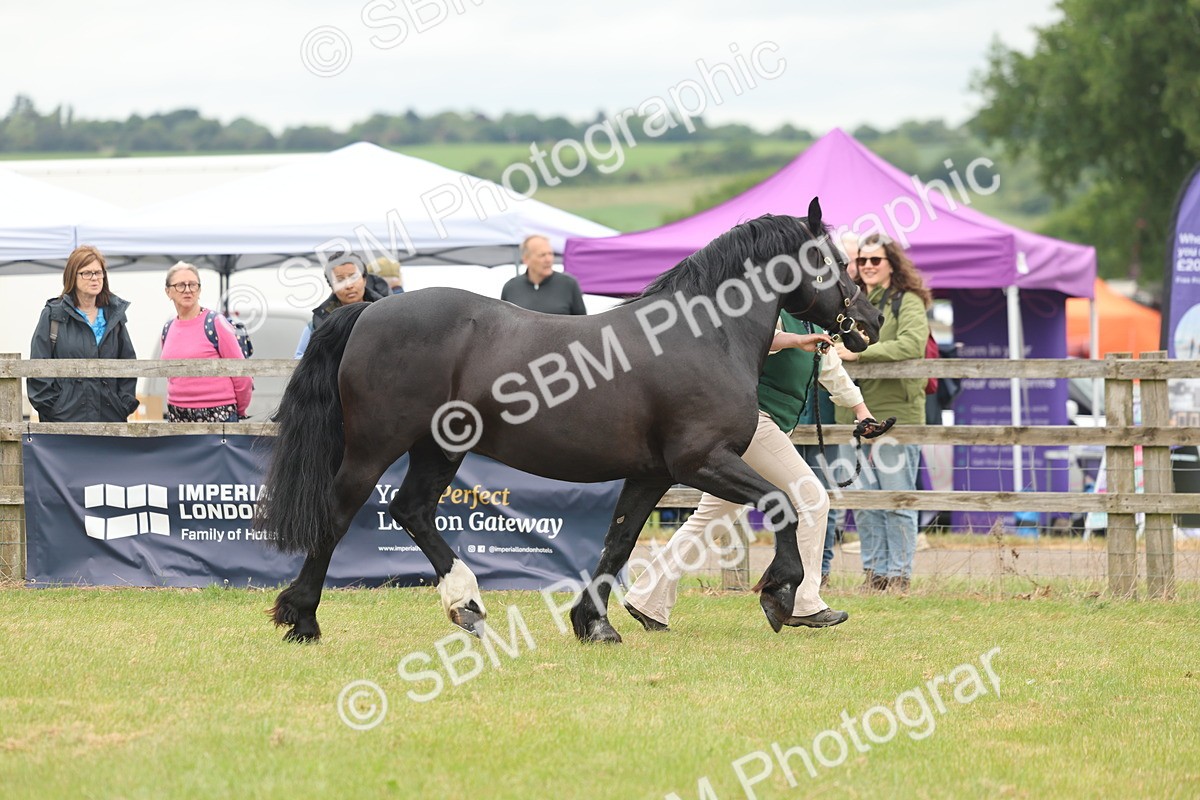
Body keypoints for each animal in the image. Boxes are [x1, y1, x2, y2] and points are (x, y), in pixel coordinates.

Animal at [256, 198, 883, 644]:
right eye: (831, 260)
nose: (870, 320)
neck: (703, 336)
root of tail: (367, 311)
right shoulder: (701, 461)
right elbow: (783, 503)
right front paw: (779, 595)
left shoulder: (653, 473)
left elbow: (619, 541)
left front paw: (595, 623)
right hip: (374, 446)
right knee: (338, 514)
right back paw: (302, 619)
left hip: (440, 448)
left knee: (411, 510)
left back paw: (467, 607)